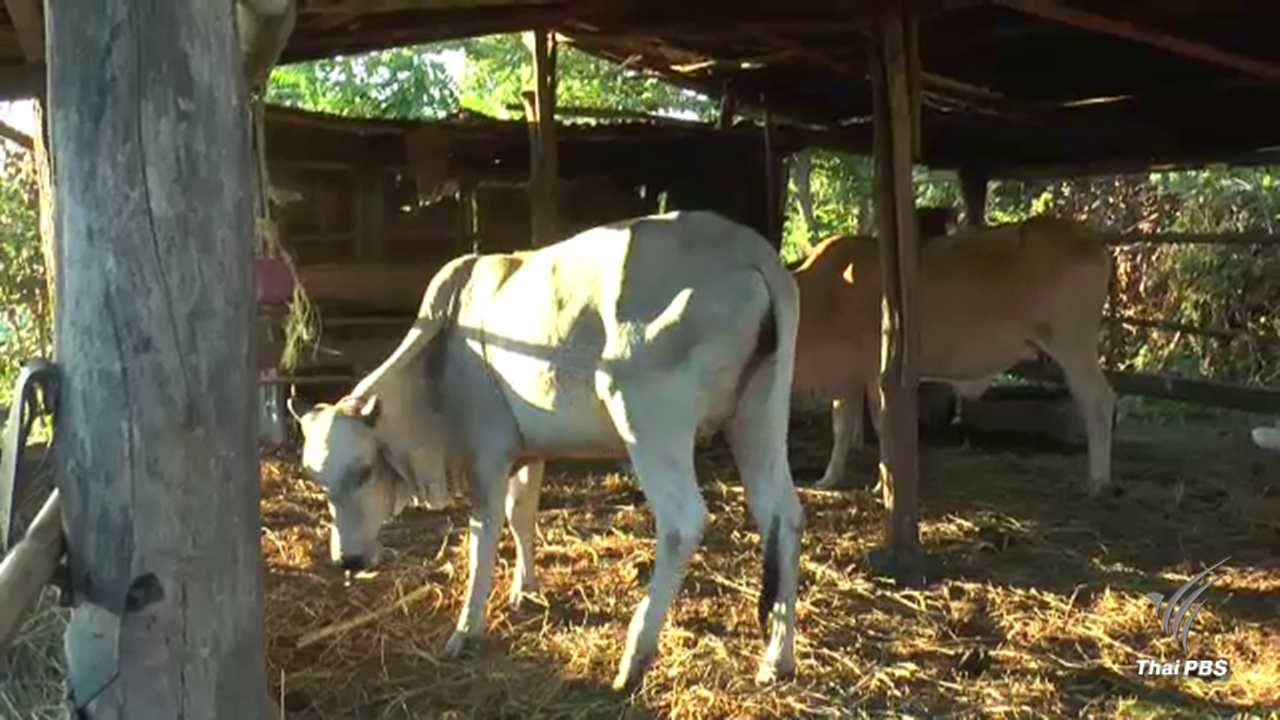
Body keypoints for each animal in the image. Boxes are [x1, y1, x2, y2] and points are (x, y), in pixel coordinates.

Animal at [294, 210, 803, 686]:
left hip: (648, 419)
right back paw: (776, 659)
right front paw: (525, 590)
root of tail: (745, 249)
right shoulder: (527, 453)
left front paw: (465, 630)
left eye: (364, 470)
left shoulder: (488, 455)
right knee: (783, 515)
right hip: (759, 416)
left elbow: (482, 537)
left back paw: (635, 657)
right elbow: (522, 515)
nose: (347, 560)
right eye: (319, 481)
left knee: (683, 523)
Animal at [793, 212, 1116, 491]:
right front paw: (828, 478)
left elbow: (882, 423)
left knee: (1098, 399)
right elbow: (841, 427)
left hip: (1073, 344)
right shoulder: (846, 376)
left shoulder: (877, 370)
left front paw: (884, 483)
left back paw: (1098, 480)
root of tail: (1087, 238)